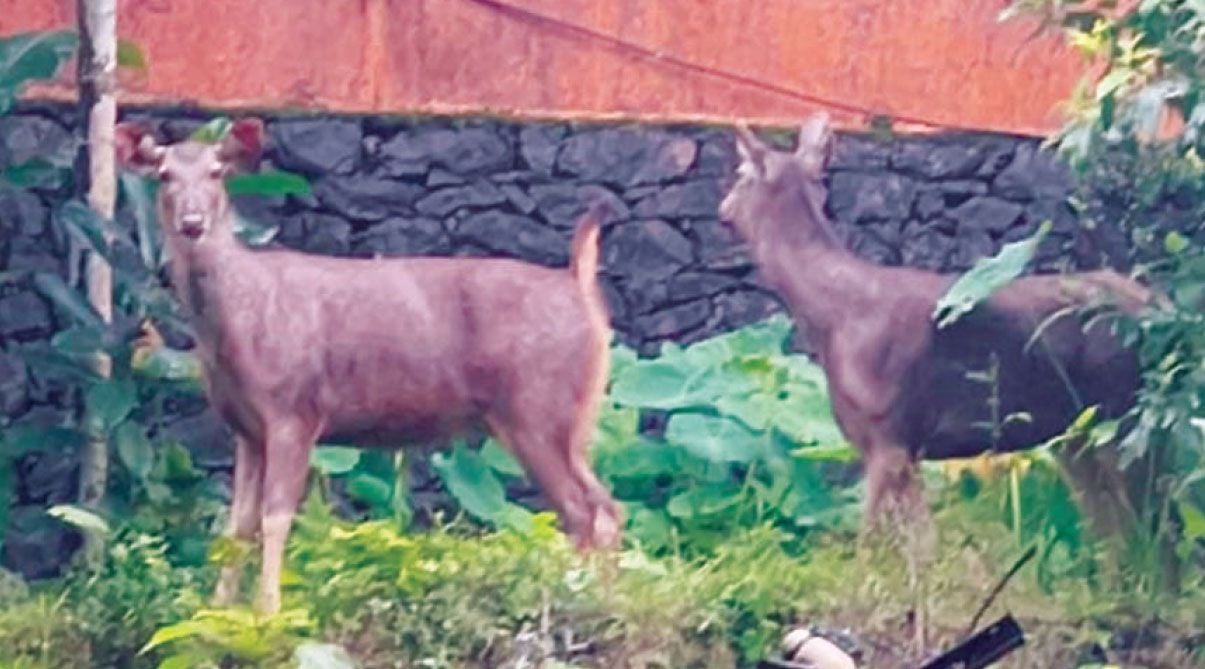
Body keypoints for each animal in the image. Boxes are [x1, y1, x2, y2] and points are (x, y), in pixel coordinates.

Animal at [113, 118, 621, 614]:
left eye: (218, 171)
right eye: (164, 175)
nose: (192, 222)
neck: (235, 328)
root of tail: (579, 287)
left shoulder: (294, 411)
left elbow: (276, 517)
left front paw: (269, 612)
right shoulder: (245, 429)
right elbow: (236, 525)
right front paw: (215, 610)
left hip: (536, 406)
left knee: (582, 510)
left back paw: (579, 598)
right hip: (569, 418)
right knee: (606, 506)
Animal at [719, 112, 1162, 547]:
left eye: (739, 175)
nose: (722, 209)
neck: (831, 318)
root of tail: (1158, 303)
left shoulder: (890, 433)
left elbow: (873, 545)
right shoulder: (896, 447)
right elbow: (922, 547)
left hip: (1125, 410)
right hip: (1076, 433)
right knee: (1115, 534)